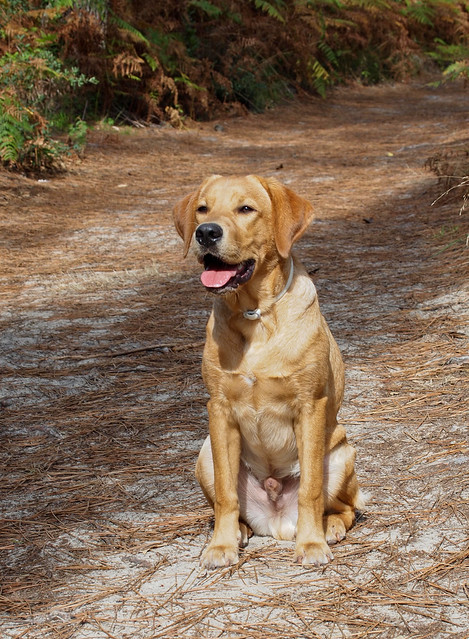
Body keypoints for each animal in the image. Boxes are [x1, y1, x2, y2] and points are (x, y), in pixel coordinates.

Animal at [173, 175, 366, 568]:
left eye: (246, 208)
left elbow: (310, 489)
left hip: (341, 454)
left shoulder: (310, 406)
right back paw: (238, 531)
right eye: (202, 208)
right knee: (228, 503)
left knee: (345, 507)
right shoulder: (219, 410)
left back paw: (329, 528)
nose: (206, 232)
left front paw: (311, 544)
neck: (255, 316)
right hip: (205, 454)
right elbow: (227, 496)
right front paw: (221, 546)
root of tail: (277, 522)